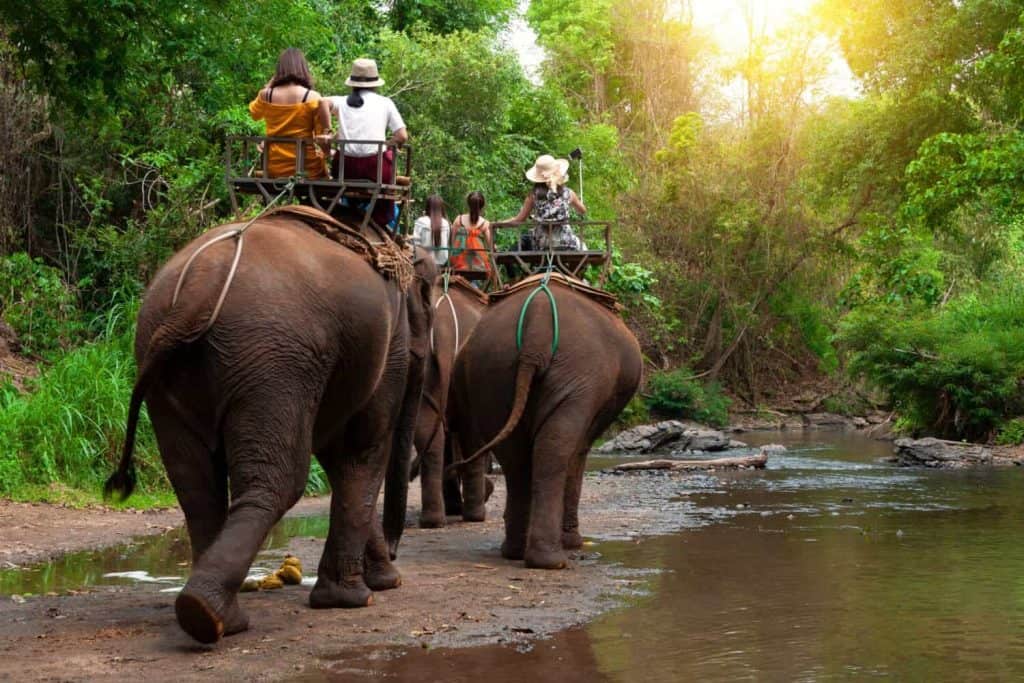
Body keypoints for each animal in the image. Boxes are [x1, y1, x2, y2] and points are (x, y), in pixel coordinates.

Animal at [104, 205, 435, 644]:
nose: (395, 564)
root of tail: (197, 291)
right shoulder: (383, 345)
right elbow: (358, 449)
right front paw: (356, 598)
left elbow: (338, 455)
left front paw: (373, 586)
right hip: (273, 361)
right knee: (280, 480)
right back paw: (210, 615)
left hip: (177, 365)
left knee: (194, 483)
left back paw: (212, 616)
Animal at [412, 274, 488, 528]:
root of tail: (444, 331)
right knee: (471, 435)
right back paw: (475, 515)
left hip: (425, 370)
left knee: (428, 432)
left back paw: (433, 520)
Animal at [449, 274, 642, 569]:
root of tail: (536, 322)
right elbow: (579, 451)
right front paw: (573, 543)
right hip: (578, 373)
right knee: (555, 449)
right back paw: (552, 560)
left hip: (491, 371)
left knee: (515, 458)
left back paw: (517, 552)